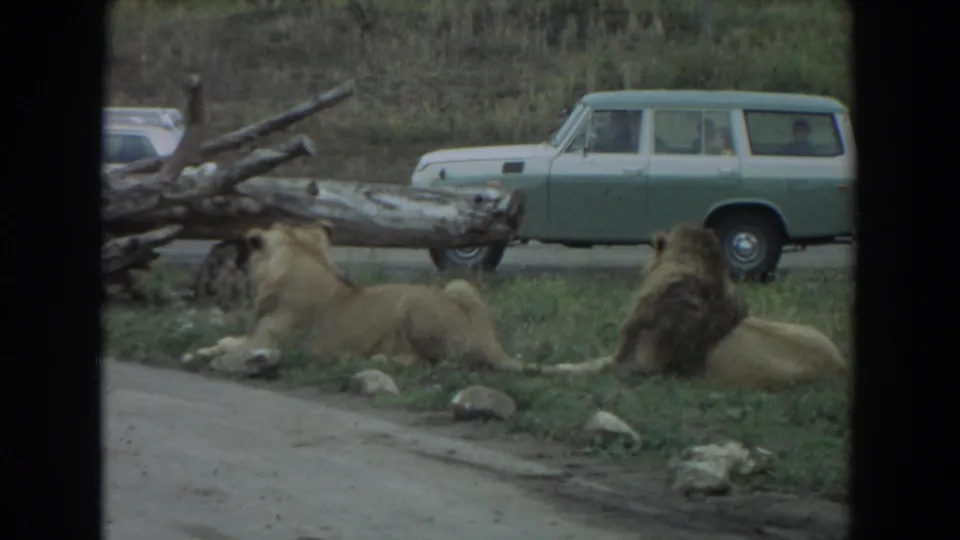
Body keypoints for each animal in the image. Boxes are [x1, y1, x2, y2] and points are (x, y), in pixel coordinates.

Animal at [182, 221, 527, 374]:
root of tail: (490, 342)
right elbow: (227, 340)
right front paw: (202, 348)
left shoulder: (267, 340)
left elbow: (229, 353)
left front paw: (203, 356)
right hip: (460, 285)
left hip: (415, 308)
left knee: (439, 363)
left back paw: (375, 359)